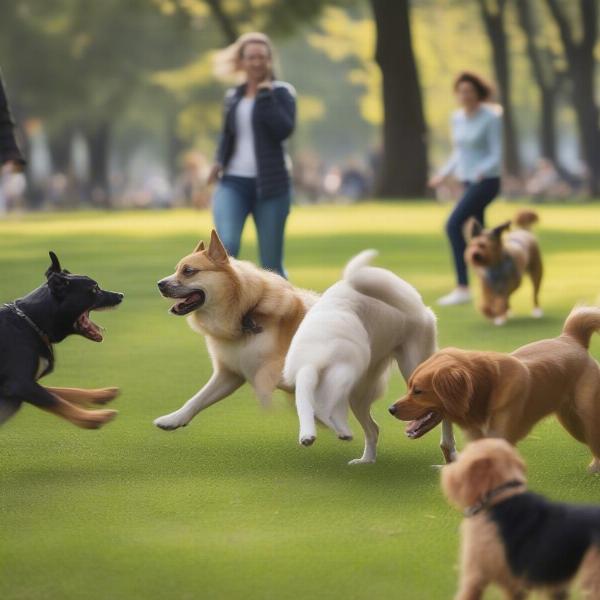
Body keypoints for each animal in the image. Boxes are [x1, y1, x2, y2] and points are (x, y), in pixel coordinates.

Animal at [0, 252, 124, 426]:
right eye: (95, 289)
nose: (121, 295)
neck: (32, 321)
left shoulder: (24, 385)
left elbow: (64, 393)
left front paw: (100, 394)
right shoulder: (19, 384)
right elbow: (56, 401)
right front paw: (94, 418)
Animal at [154, 230, 318, 432]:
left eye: (189, 271)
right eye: (177, 269)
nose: (159, 284)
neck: (245, 313)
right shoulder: (229, 373)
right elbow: (198, 398)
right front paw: (174, 419)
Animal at [284, 248, 458, 464]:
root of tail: (418, 306)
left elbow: (326, 410)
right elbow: (313, 409)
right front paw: (311, 434)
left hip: (413, 368)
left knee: (442, 411)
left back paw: (448, 448)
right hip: (359, 393)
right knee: (373, 429)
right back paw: (366, 459)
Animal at [390, 308, 600, 472]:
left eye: (418, 391)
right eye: (409, 387)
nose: (390, 409)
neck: (482, 391)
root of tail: (570, 338)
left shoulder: (500, 439)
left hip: (587, 419)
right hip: (572, 423)